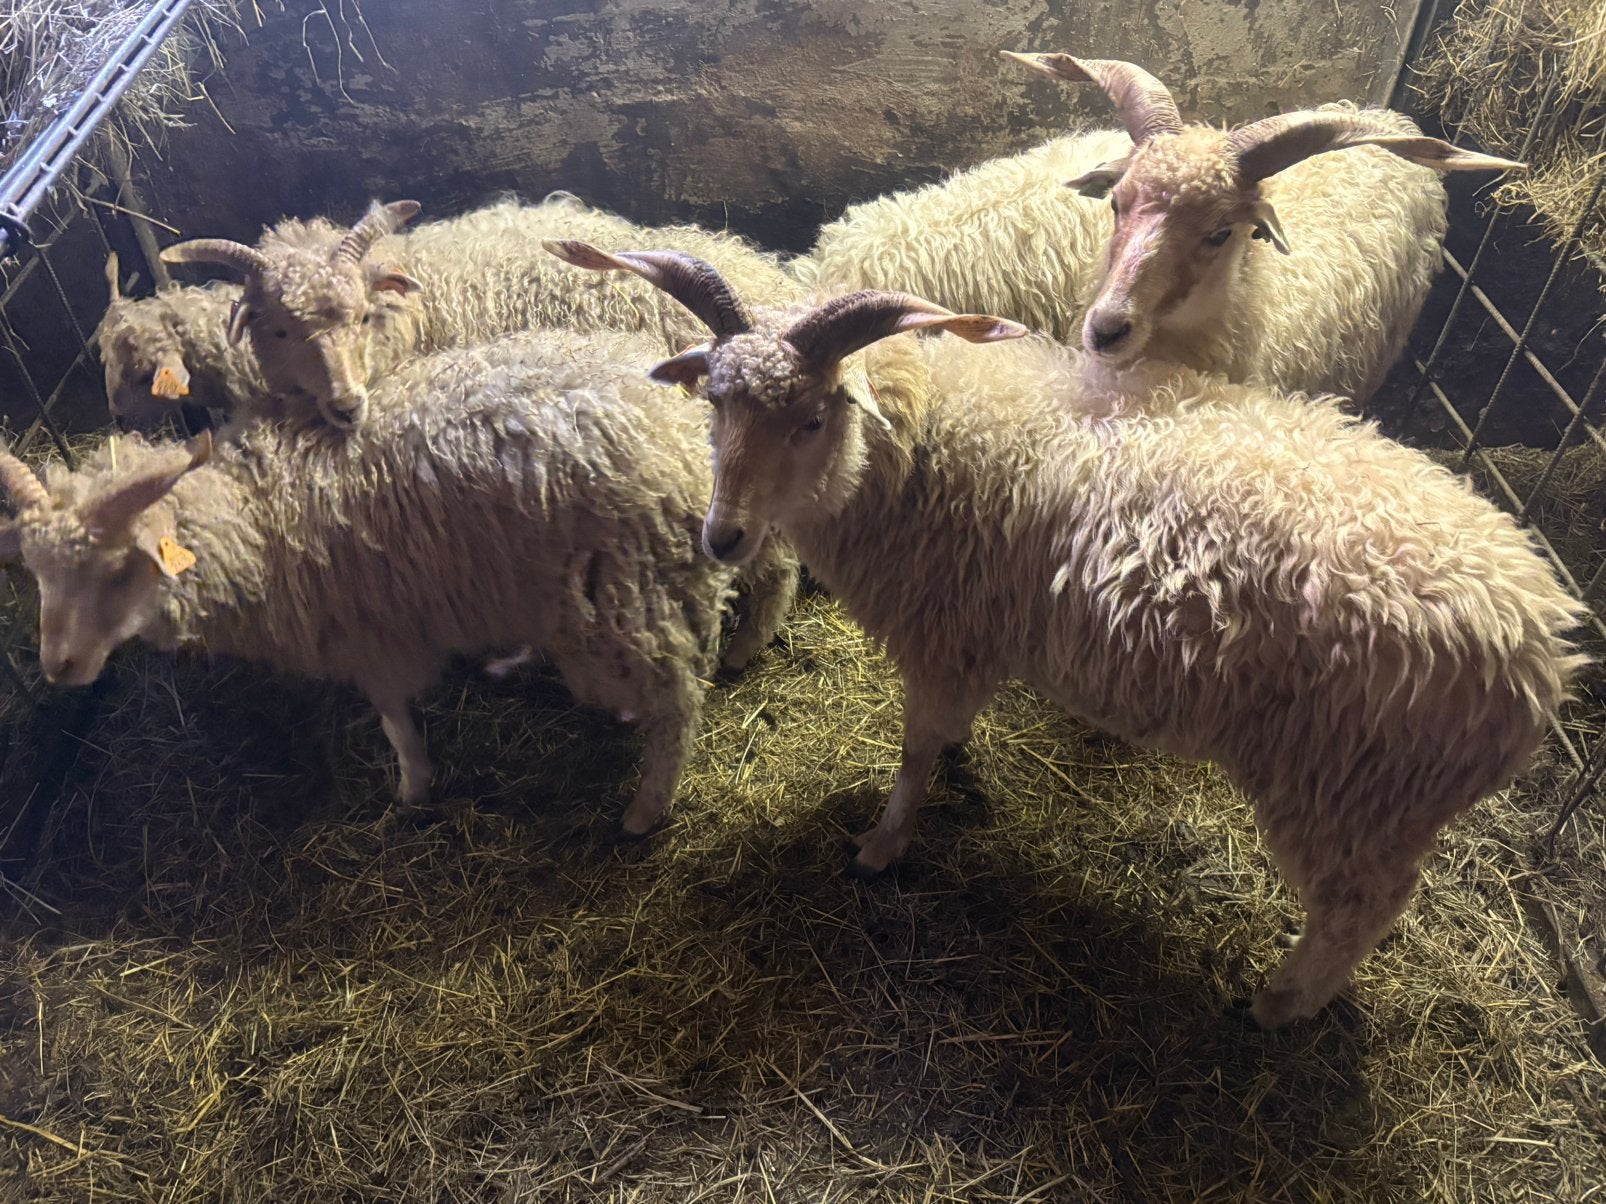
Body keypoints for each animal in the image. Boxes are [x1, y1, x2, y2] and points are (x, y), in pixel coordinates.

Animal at [0, 325, 798, 833]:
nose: (58, 668)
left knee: (678, 700)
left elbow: (393, 717)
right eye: (36, 574)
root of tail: (672, 438)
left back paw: (645, 808)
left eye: (116, 570)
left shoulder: (369, 629)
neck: (259, 510)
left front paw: (412, 787)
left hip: (627, 595)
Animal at [548, 239, 1588, 1027]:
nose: (721, 536)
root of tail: (1543, 648)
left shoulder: (943, 628)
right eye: (717, 402)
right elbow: (948, 735)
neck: (919, 445)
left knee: (1360, 911)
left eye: (812, 416)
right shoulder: (975, 635)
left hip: (1349, 788)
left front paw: (881, 848)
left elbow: (915, 753)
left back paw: (1280, 1002)